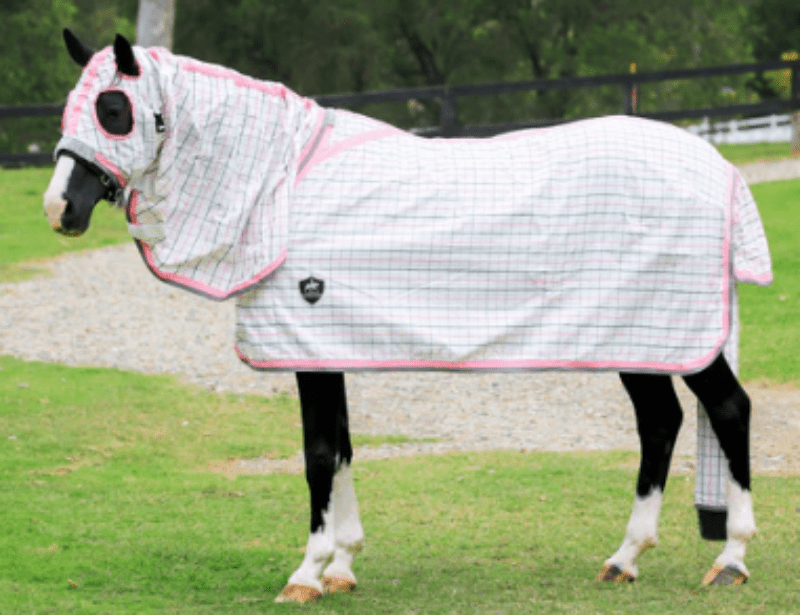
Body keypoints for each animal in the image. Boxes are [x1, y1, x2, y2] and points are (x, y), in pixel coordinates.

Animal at [43, 30, 772, 602]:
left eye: (113, 109)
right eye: (73, 104)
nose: (60, 209)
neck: (281, 187)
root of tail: (717, 166)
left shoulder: (308, 342)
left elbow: (317, 453)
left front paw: (307, 572)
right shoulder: (324, 345)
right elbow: (340, 448)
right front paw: (342, 565)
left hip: (678, 335)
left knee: (727, 409)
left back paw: (731, 558)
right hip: (639, 334)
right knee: (661, 421)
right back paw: (624, 557)